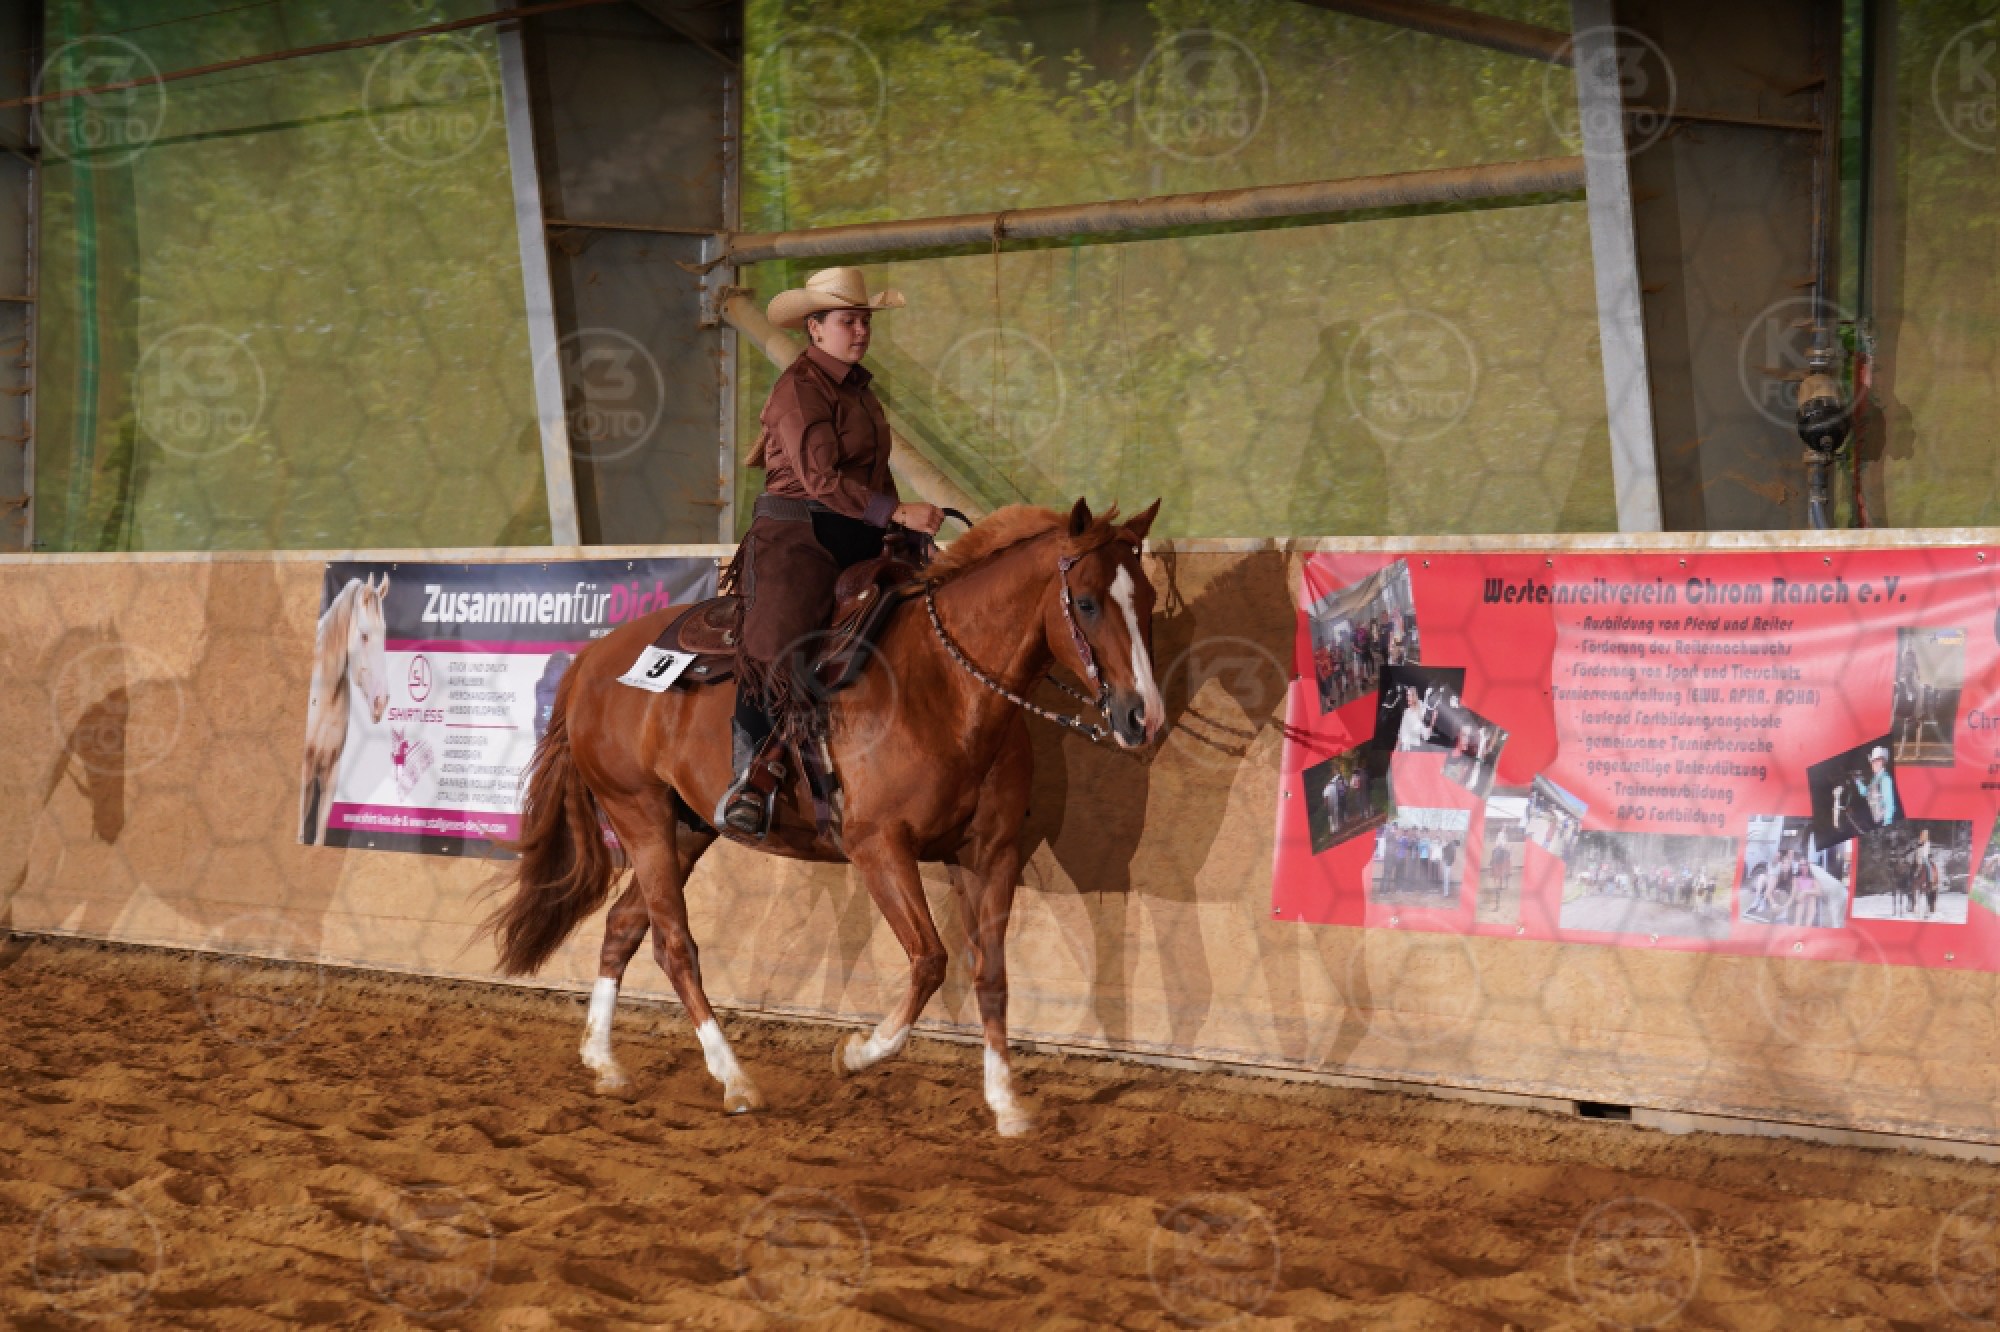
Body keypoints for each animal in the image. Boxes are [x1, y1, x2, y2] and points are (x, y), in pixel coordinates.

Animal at [481, 500, 1162, 1136]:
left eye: (1150, 600)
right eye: (1086, 602)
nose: (1143, 717)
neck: (944, 689)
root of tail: (592, 659)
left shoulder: (990, 851)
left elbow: (990, 971)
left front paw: (1006, 1104)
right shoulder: (878, 846)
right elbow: (929, 959)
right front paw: (857, 1053)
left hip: (685, 829)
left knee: (623, 926)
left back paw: (605, 1063)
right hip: (639, 812)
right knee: (675, 945)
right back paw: (735, 1079)